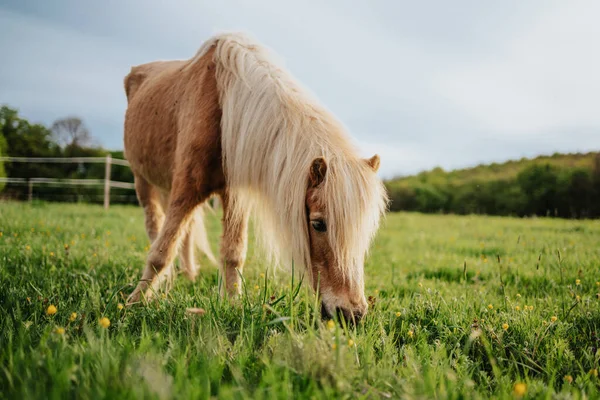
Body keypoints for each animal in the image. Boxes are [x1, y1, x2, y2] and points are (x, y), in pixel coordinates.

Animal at [123, 33, 386, 322]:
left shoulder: (234, 196)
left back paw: (189, 275)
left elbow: (233, 253)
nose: (352, 314)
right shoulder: (187, 189)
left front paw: (232, 304)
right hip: (143, 181)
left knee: (188, 232)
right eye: (318, 224)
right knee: (155, 228)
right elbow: (161, 252)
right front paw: (134, 303)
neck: (222, 108)